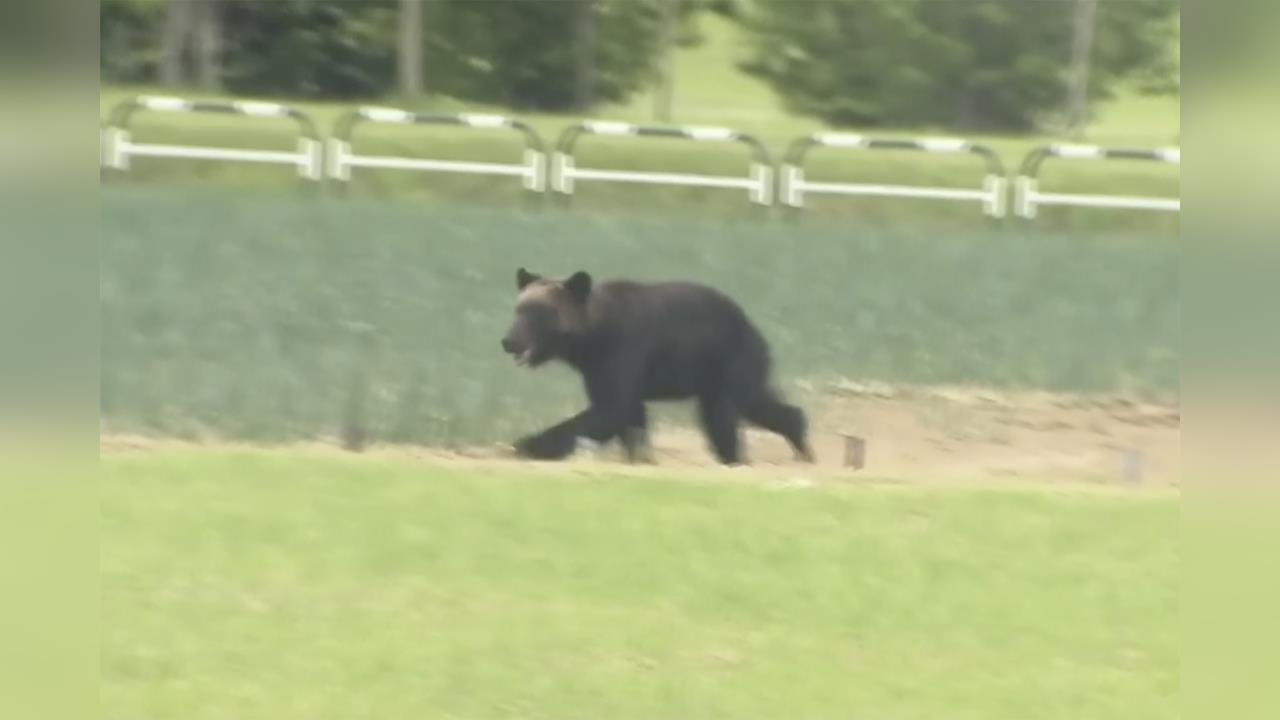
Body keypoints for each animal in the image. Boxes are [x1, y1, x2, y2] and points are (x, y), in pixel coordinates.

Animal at [500, 267, 814, 465]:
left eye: (539, 312)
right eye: (519, 309)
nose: (509, 341)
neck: (592, 339)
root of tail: (755, 327)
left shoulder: (623, 351)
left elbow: (609, 410)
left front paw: (525, 444)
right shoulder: (598, 369)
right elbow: (627, 415)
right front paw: (640, 456)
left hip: (729, 358)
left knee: (723, 414)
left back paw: (737, 457)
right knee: (758, 403)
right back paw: (798, 439)